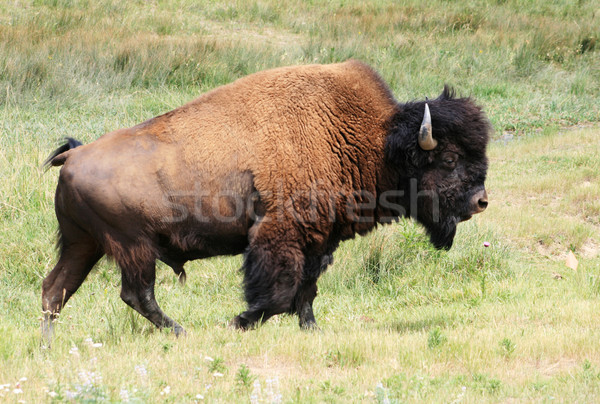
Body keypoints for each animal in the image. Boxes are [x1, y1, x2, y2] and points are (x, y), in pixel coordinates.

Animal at [42, 59, 490, 338]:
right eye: (450, 158)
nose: (481, 202)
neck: (376, 140)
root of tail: (75, 154)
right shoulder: (279, 234)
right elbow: (279, 291)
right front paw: (240, 321)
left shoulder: (319, 239)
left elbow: (306, 289)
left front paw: (311, 329)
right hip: (133, 245)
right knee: (136, 293)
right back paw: (183, 332)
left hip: (85, 244)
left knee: (55, 290)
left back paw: (48, 346)